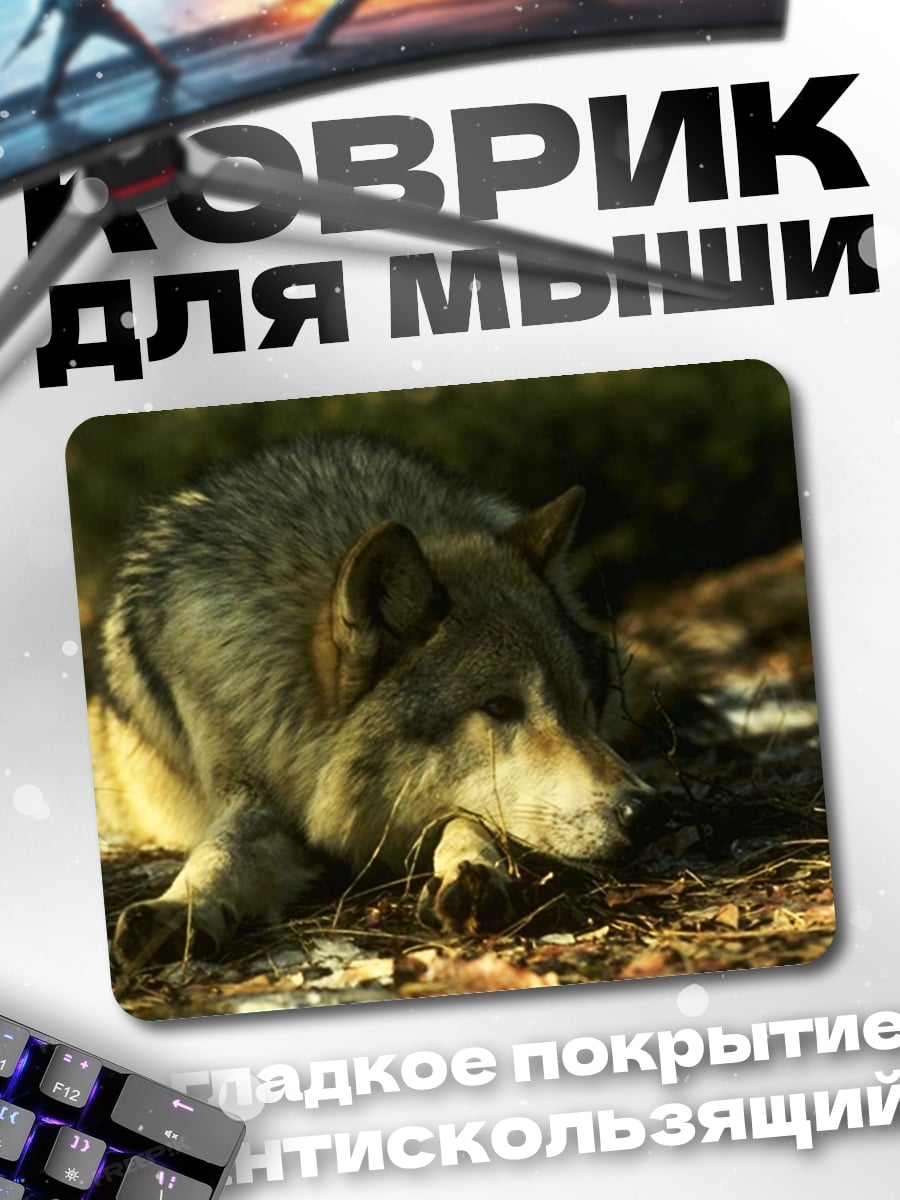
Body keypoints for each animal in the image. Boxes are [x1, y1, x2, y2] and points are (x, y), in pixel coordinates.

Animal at [90, 434, 658, 968]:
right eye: (500, 707)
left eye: (583, 703)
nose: (646, 811)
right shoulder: (249, 790)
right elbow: (223, 847)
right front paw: (180, 906)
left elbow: (471, 820)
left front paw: (474, 871)